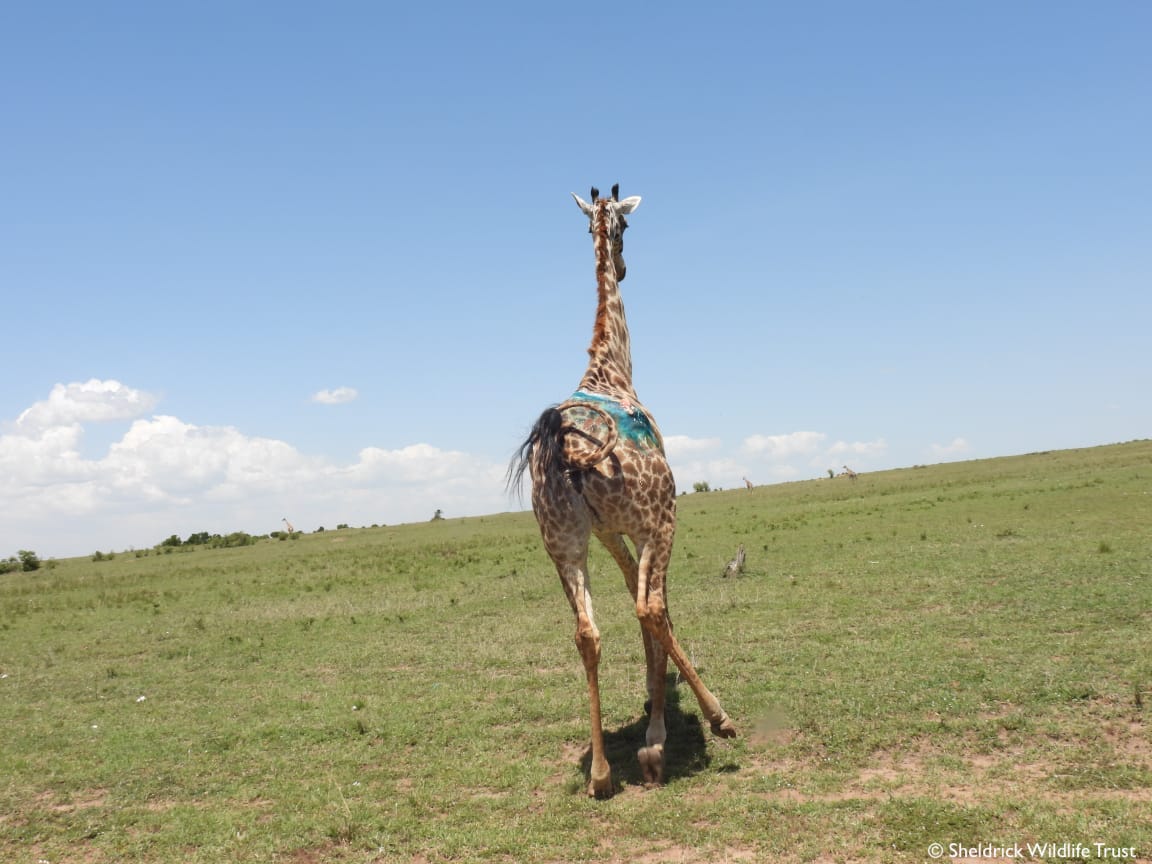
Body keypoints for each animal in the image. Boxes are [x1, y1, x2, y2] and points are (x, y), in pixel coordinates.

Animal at [510, 184, 736, 799]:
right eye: (628, 230)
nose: (626, 265)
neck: (613, 370)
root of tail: (567, 448)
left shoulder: (608, 534)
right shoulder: (647, 522)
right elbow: (657, 607)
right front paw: (659, 733)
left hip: (561, 541)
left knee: (586, 632)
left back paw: (601, 773)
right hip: (659, 517)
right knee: (650, 605)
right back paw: (717, 718)